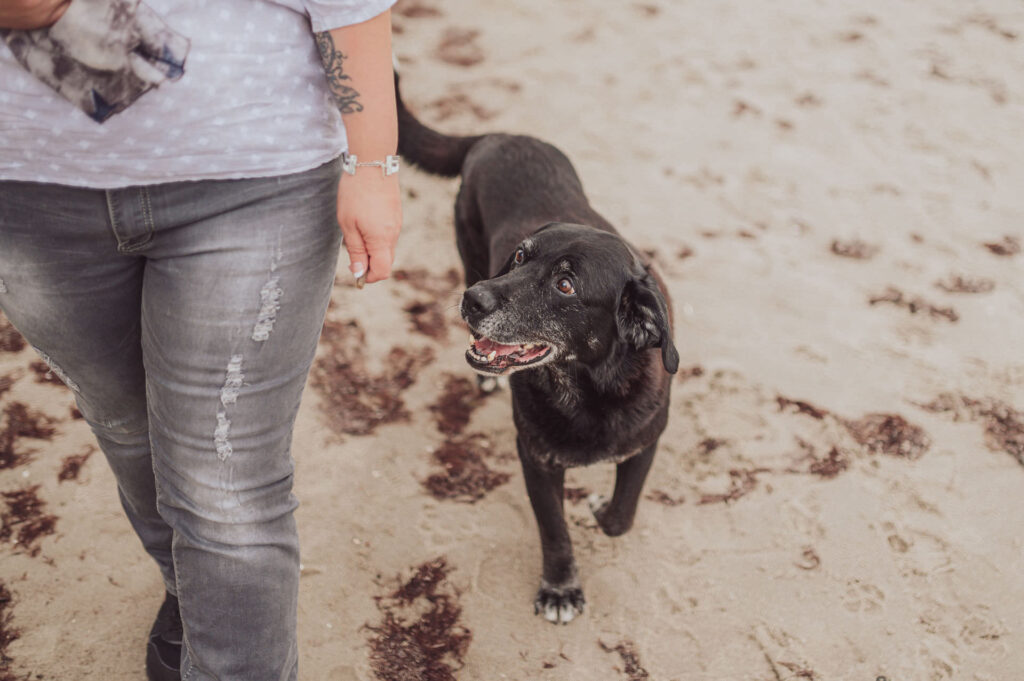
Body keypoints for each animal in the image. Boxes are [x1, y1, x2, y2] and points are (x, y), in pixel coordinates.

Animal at [395, 73, 675, 622]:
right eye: (520, 257)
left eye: (566, 285)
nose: (472, 300)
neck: (590, 390)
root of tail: (498, 136)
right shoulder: (537, 460)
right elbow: (555, 532)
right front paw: (560, 588)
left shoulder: (644, 444)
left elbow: (622, 517)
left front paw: (601, 511)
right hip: (467, 249)